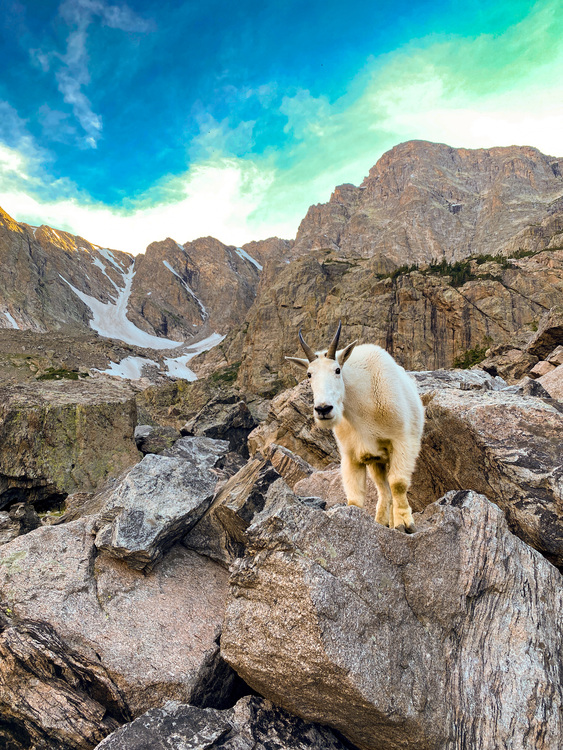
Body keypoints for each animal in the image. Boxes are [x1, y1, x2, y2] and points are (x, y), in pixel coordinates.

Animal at [286, 322, 424, 532]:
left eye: (337, 370)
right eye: (309, 374)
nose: (323, 409)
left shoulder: (403, 442)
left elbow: (398, 483)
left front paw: (406, 524)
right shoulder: (351, 455)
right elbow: (355, 498)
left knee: (390, 487)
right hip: (377, 461)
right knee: (383, 489)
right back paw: (382, 521)